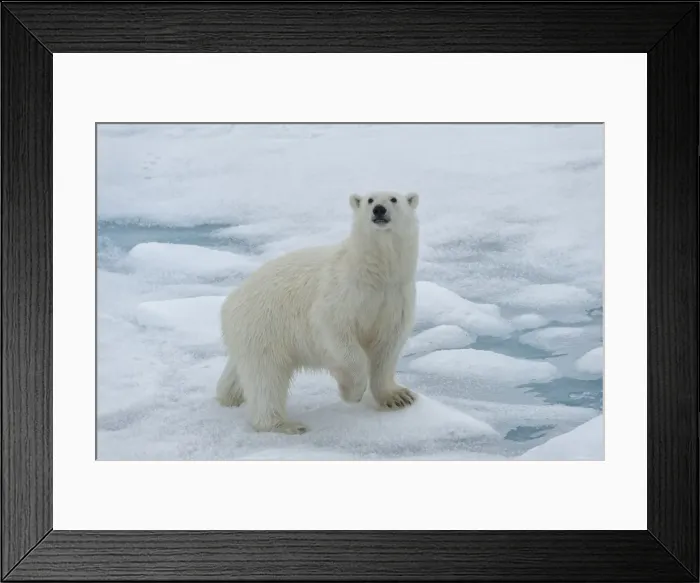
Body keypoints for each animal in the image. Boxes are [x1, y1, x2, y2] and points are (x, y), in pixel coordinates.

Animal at [215, 191, 420, 434]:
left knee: (241, 371)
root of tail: (229, 303)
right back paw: (284, 424)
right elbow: (337, 332)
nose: (379, 209)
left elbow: (387, 347)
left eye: (393, 199)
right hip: (264, 326)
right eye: (370, 199)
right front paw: (351, 391)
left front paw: (398, 396)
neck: (375, 273)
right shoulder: (343, 293)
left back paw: (229, 396)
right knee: (266, 377)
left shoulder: (395, 297)